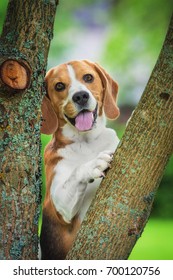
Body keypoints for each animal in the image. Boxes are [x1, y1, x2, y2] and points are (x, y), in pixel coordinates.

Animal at [39, 60, 119, 260]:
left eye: (88, 77)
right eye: (59, 86)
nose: (80, 96)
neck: (87, 143)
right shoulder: (56, 207)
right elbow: (76, 173)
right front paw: (93, 165)